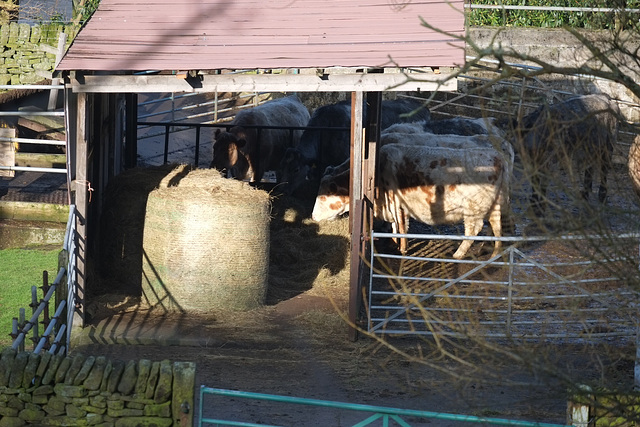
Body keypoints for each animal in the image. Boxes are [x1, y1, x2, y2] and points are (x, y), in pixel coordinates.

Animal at [312, 140, 512, 260]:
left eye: (323, 196)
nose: (312, 216)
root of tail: (496, 156)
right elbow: (396, 226)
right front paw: (393, 243)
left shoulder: (397, 204)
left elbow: (401, 227)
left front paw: (401, 249)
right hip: (494, 205)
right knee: (497, 226)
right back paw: (494, 252)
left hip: (473, 209)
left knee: (474, 229)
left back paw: (458, 254)